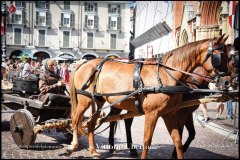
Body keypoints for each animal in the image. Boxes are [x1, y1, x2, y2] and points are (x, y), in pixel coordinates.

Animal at [68, 34, 230, 158]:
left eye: (229, 57)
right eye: (220, 56)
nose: (228, 81)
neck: (165, 75)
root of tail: (84, 63)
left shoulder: (170, 114)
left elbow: (177, 140)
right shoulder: (152, 113)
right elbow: (147, 141)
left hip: (100, 101)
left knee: (91, 123)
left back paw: (93, 150)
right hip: (84, 101)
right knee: (75, 119)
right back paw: (74, 144)